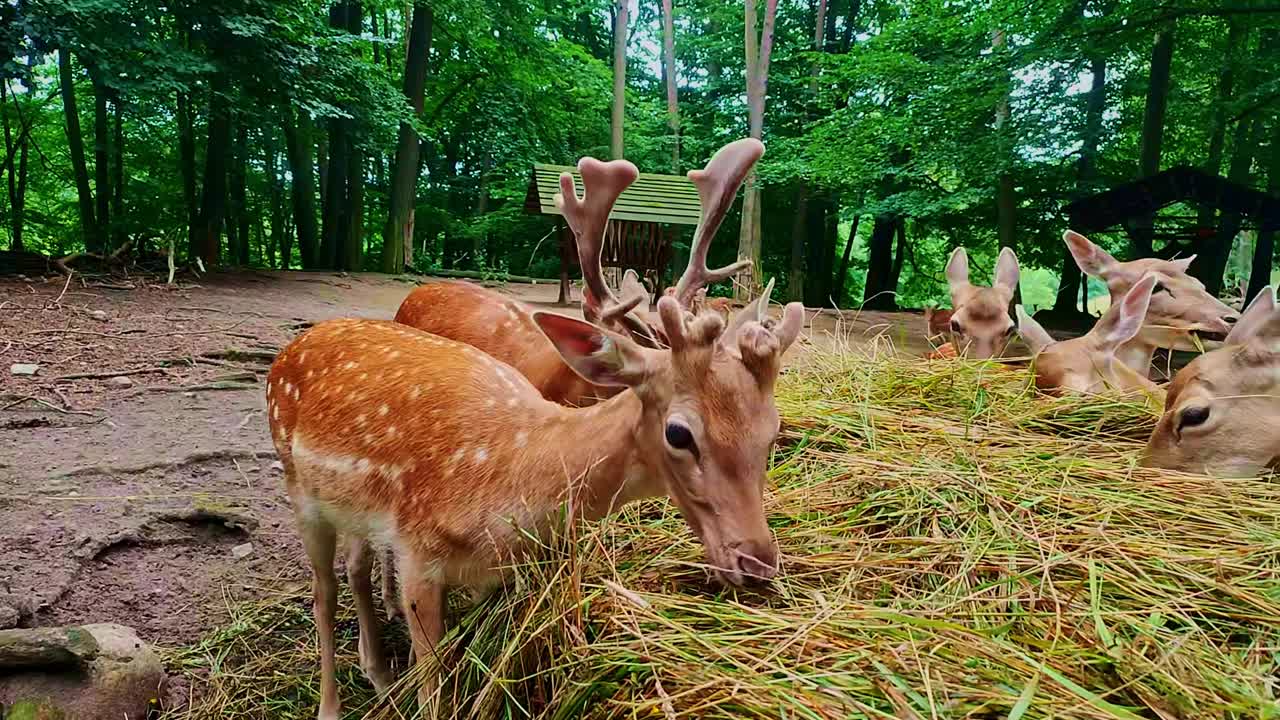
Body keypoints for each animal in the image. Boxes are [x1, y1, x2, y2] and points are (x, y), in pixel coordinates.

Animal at [268, 149, 798, 712]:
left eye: (772, 429)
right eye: (679, 433)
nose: (757, 564)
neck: (509, 480)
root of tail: (292, 348)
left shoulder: (493, 578)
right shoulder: (418, 557)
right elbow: (434, 688)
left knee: (356, 567)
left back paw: (380, 673)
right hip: (299, 488)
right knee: (323, 593)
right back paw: (331, 703)